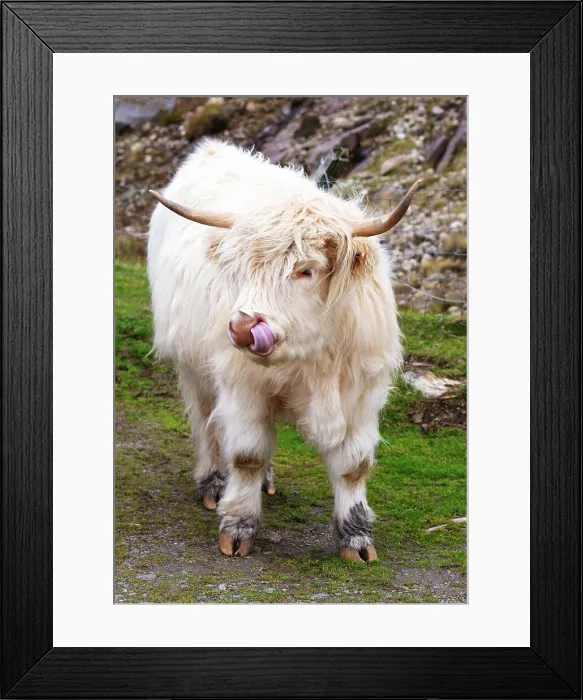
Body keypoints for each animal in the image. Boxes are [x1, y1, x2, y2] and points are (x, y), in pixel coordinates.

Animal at [147, 138, 421, 562]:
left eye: (306, 270)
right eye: (239, 268)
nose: (242, 328)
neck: (316, 359)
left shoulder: (362, 392)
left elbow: (354, 465)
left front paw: (357, 539)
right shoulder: (243, 386)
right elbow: (247, 455)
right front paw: (238, 529)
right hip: (192, 367)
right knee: (207, 423)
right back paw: (213, 483)